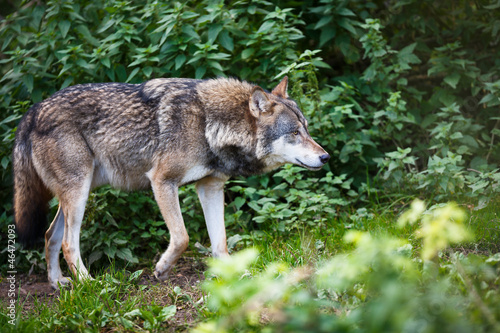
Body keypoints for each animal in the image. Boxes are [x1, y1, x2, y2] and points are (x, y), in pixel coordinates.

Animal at [11, 76, 330, 288]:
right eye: (295, 133)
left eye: (307, 129)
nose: (325, 157)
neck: (208, 125)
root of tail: (32, 112)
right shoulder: (162, 181)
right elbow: (182, 237)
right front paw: (162, 270)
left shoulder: (211, 187)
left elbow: (220, 243)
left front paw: (234, 274)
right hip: (79, 196)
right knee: (67, 243)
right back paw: (90, 283)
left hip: (78, 194)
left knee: (49, 236)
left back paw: (57, 283)